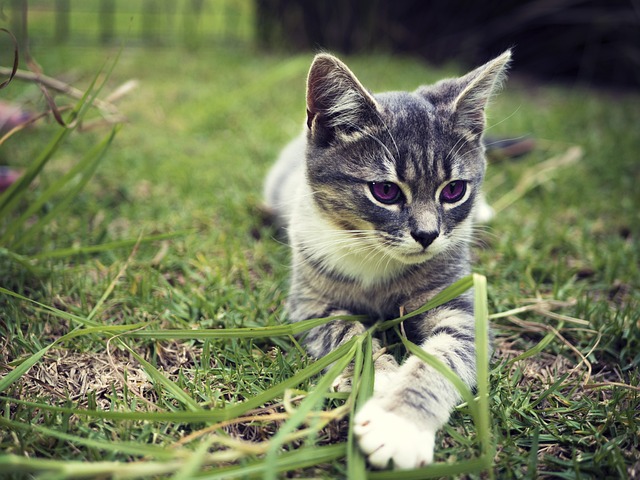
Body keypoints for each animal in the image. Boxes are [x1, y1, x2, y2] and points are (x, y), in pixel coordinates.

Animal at [264, 51, 510, 468]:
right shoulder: (310, 303)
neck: (378, 258)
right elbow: (349, 336)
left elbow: (447, 354)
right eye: (385, 191)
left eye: (454, 190)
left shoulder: (460, 301)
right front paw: (380, 379)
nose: (427, 235)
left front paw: (399, 424)